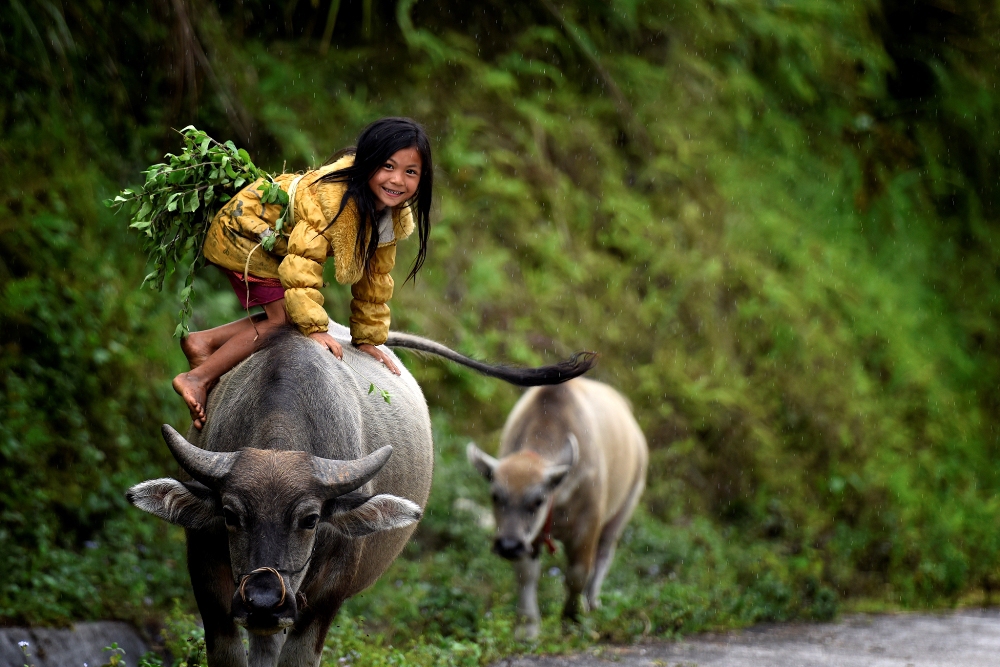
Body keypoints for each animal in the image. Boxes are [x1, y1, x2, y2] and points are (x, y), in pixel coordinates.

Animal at [464, 378, 644, 640]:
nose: (508, 546)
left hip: (625, 507)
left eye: (538, 500)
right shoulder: (530, 539)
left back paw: (591, 602)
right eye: (496, 496)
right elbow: (526, 574)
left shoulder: (587, 528)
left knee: (604, 553)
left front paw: (571, 620)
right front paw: (527, 627)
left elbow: (577, 575)